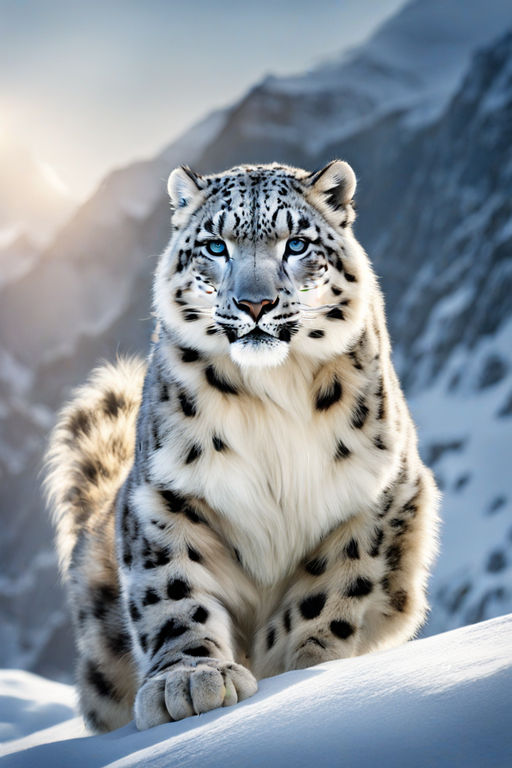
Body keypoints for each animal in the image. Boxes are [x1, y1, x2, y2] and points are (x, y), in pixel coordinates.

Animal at [45, 160, 440, 732]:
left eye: (296, 243)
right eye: (215, 245)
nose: (256, 303)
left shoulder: (378, 491)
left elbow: (331, 586)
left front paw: (292, 663)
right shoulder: (164, 494)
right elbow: (172, 588)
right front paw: (188, 681)